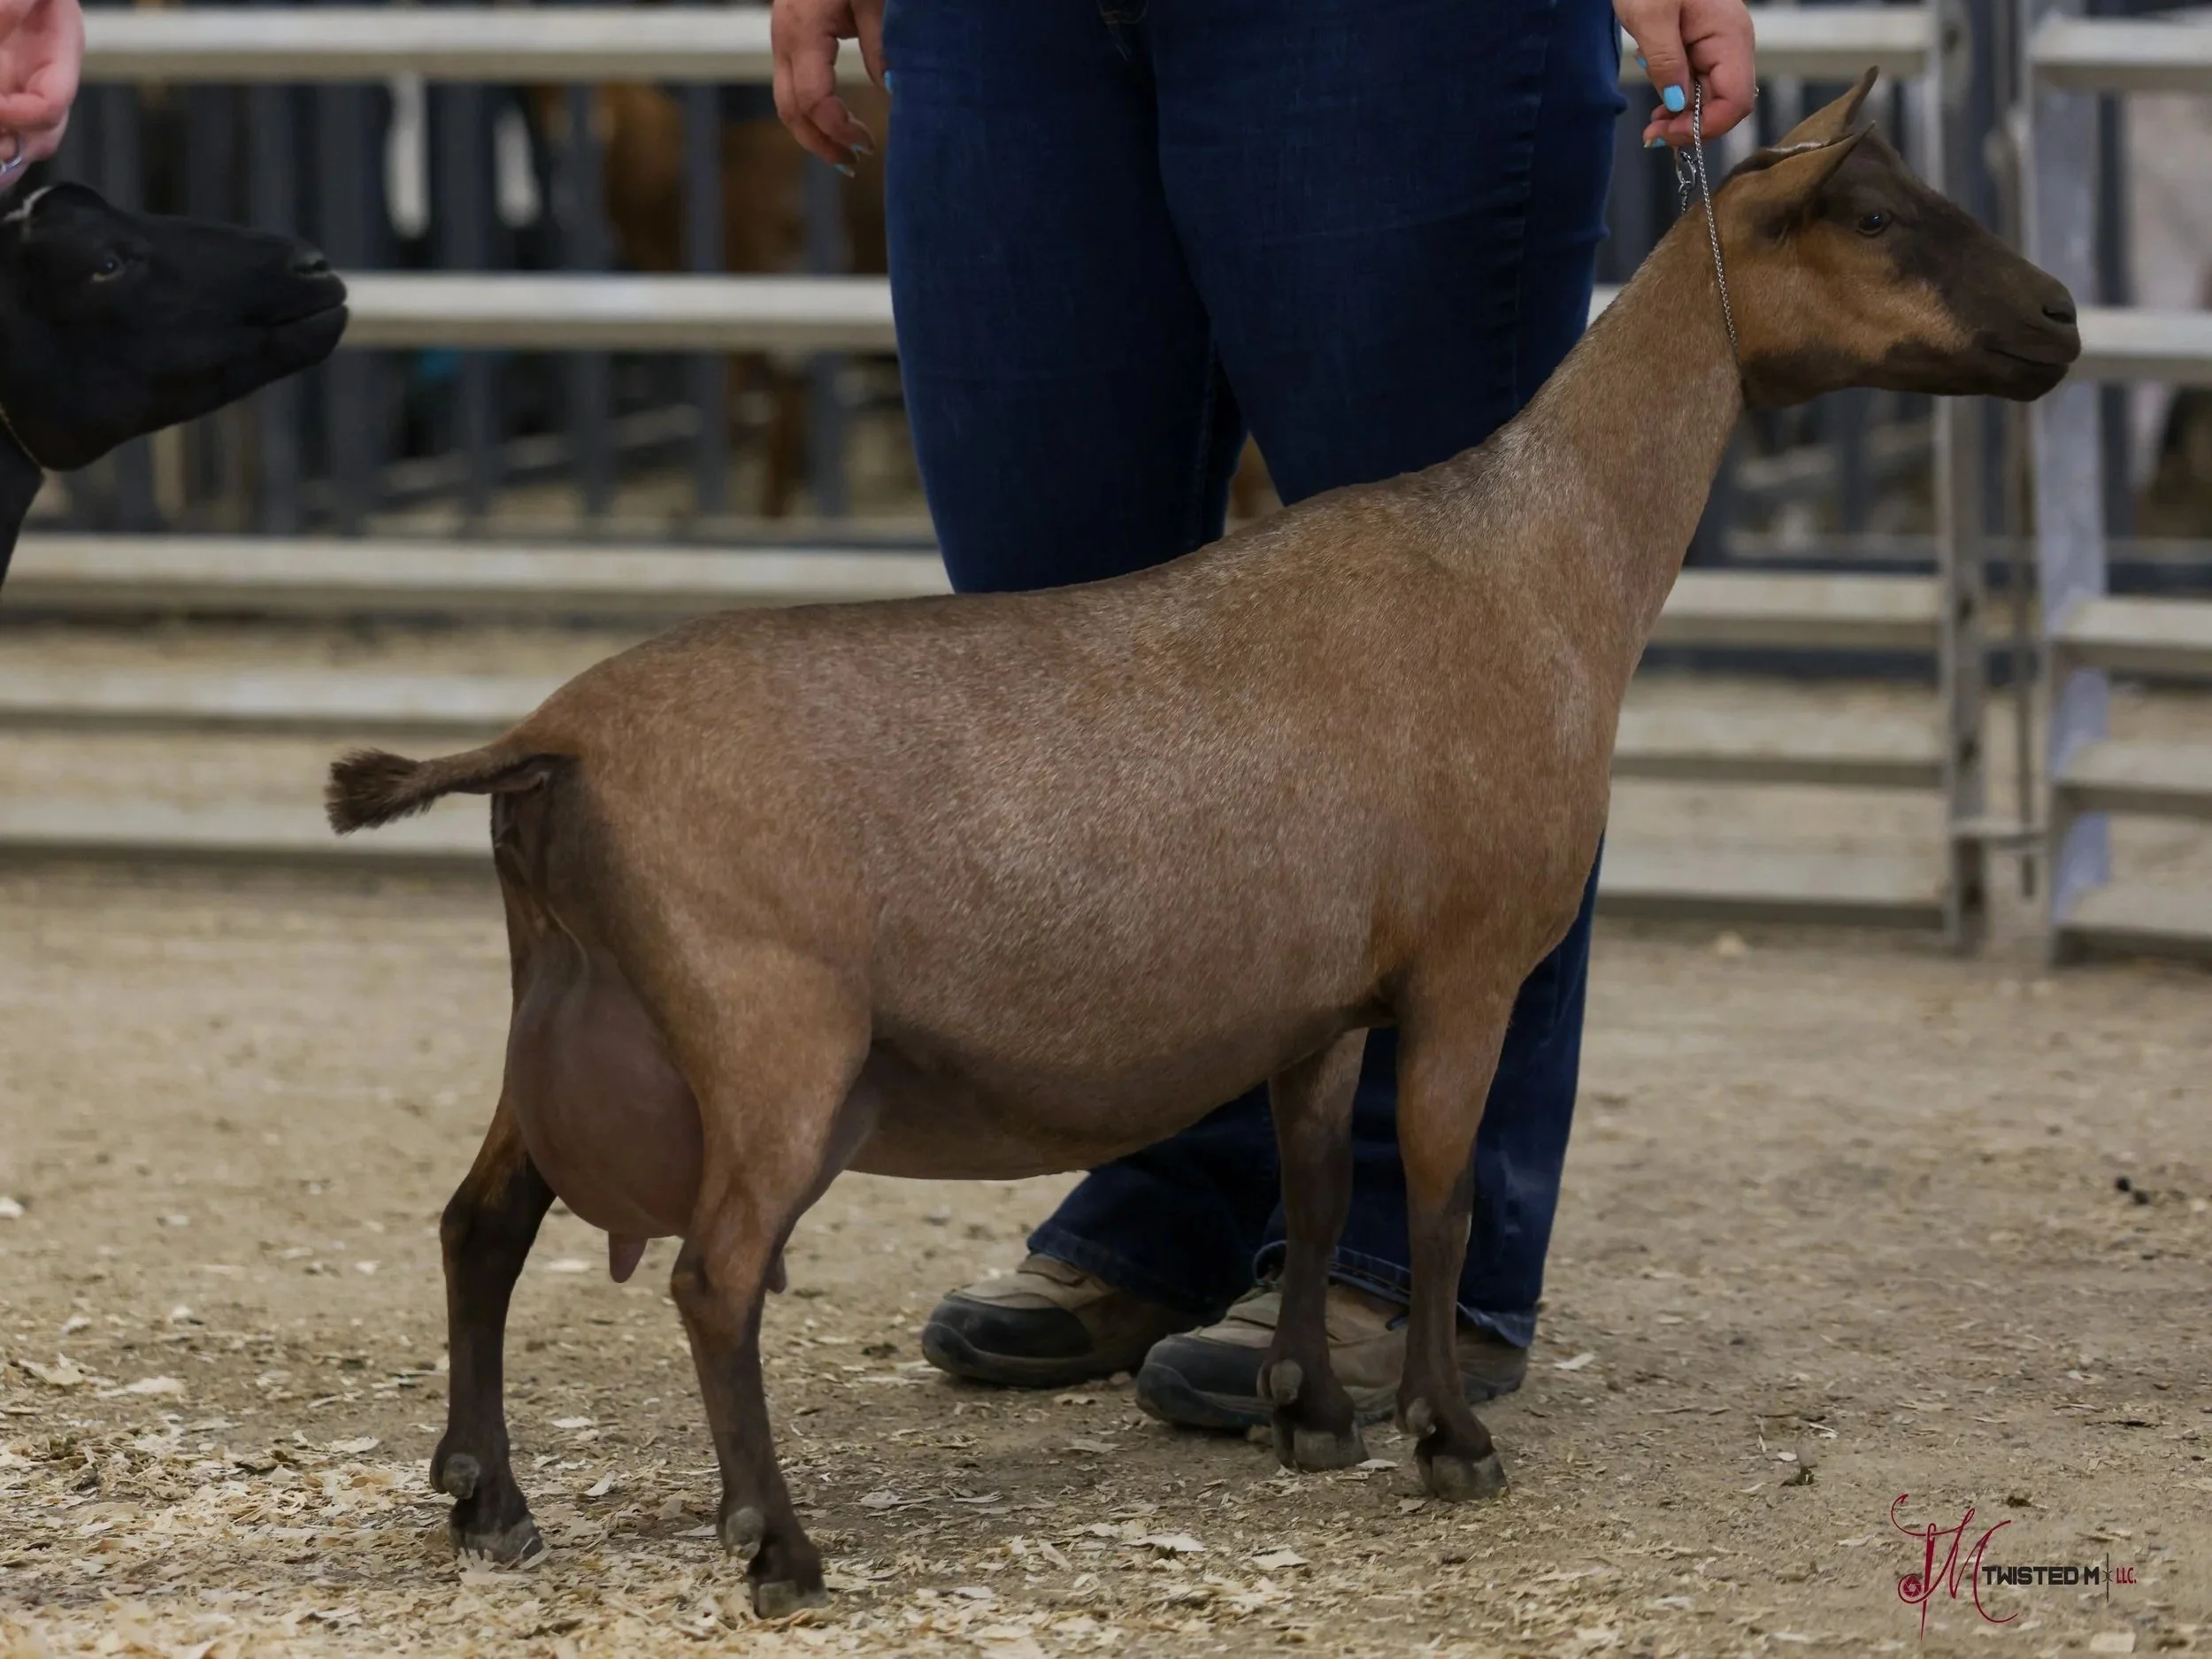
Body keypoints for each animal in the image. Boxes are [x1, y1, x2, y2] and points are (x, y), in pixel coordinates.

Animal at [326, 73, 2077, 1615]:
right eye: (1874, 213)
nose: (2062, 317)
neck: (1539, 559)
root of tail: (551, 746)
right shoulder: (1465, 970)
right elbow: (1435, 1195)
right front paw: (1448, 1437)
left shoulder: (1318, 998)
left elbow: (1315, 1177)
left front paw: (1308, 1408)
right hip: (767, 1034)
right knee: (714, 1274)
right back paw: (777, 1547)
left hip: (572, 1003)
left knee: (479, 1225)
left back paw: (487, 1501)